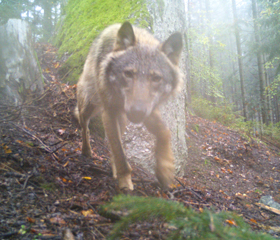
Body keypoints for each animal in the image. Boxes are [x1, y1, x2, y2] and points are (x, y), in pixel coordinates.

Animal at [75, 22, 184, 191]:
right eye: (128, 74)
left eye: (156, 78)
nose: (137, 112)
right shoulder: (109, 111)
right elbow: (120, 153)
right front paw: (125, 183)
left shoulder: (148, 110)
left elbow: (164, 132)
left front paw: (164, 169)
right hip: (89, 105)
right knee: (84, 125)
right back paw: (86, 151)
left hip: (122, 118)